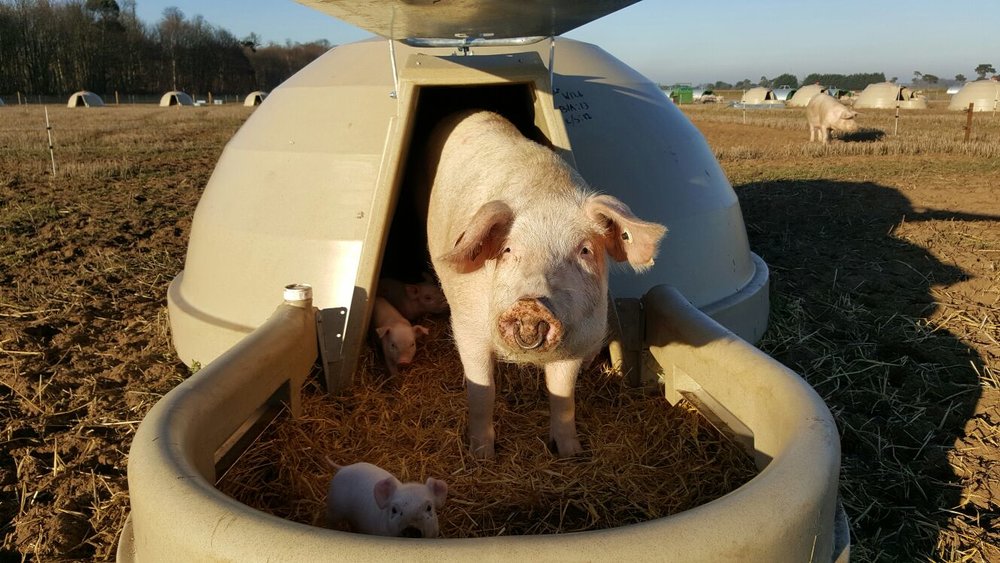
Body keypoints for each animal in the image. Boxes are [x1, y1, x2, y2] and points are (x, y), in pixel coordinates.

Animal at [422, 110, 667, 459]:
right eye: (508, 250)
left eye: (584, 250)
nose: (530, 303)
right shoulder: (467, 327)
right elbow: (482, 392)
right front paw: (482, 456)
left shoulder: (577, 342)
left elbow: (563, 396)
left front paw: (572, 453)